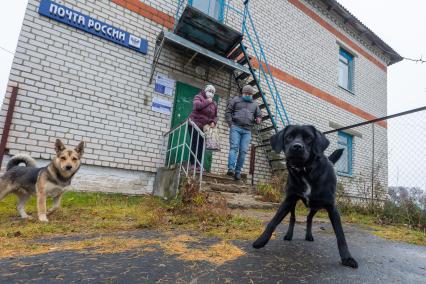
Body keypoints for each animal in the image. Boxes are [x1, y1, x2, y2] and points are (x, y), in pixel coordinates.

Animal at [253, 125, 360, 268]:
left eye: (309, 138)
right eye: (289, 137)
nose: (297, 147)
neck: (305, 171)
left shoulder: (332, 207)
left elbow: (340, 234)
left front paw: (347, 258)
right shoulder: (288, 200)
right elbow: (273, 222)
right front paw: (261, 241)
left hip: (316, 206)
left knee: (309, 218)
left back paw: (308, 235)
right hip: (294, 204)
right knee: (293, 218)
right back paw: (289, 235)